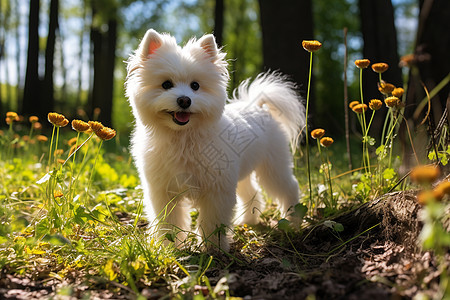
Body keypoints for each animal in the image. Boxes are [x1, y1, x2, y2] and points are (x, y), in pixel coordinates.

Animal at [125, 29, 304, 251]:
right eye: (166, 84)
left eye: (195, 86)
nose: (184, 100)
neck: (184, 137)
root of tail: (259, 107)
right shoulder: (164, 192)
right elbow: (169, 222)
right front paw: (169, 246)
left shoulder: (217, 191)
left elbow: (212, 221)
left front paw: (213, 248)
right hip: (243, 173)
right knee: (252, 193)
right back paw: (249, 220)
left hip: (273, 167)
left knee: (290, 188)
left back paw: (293, 221)